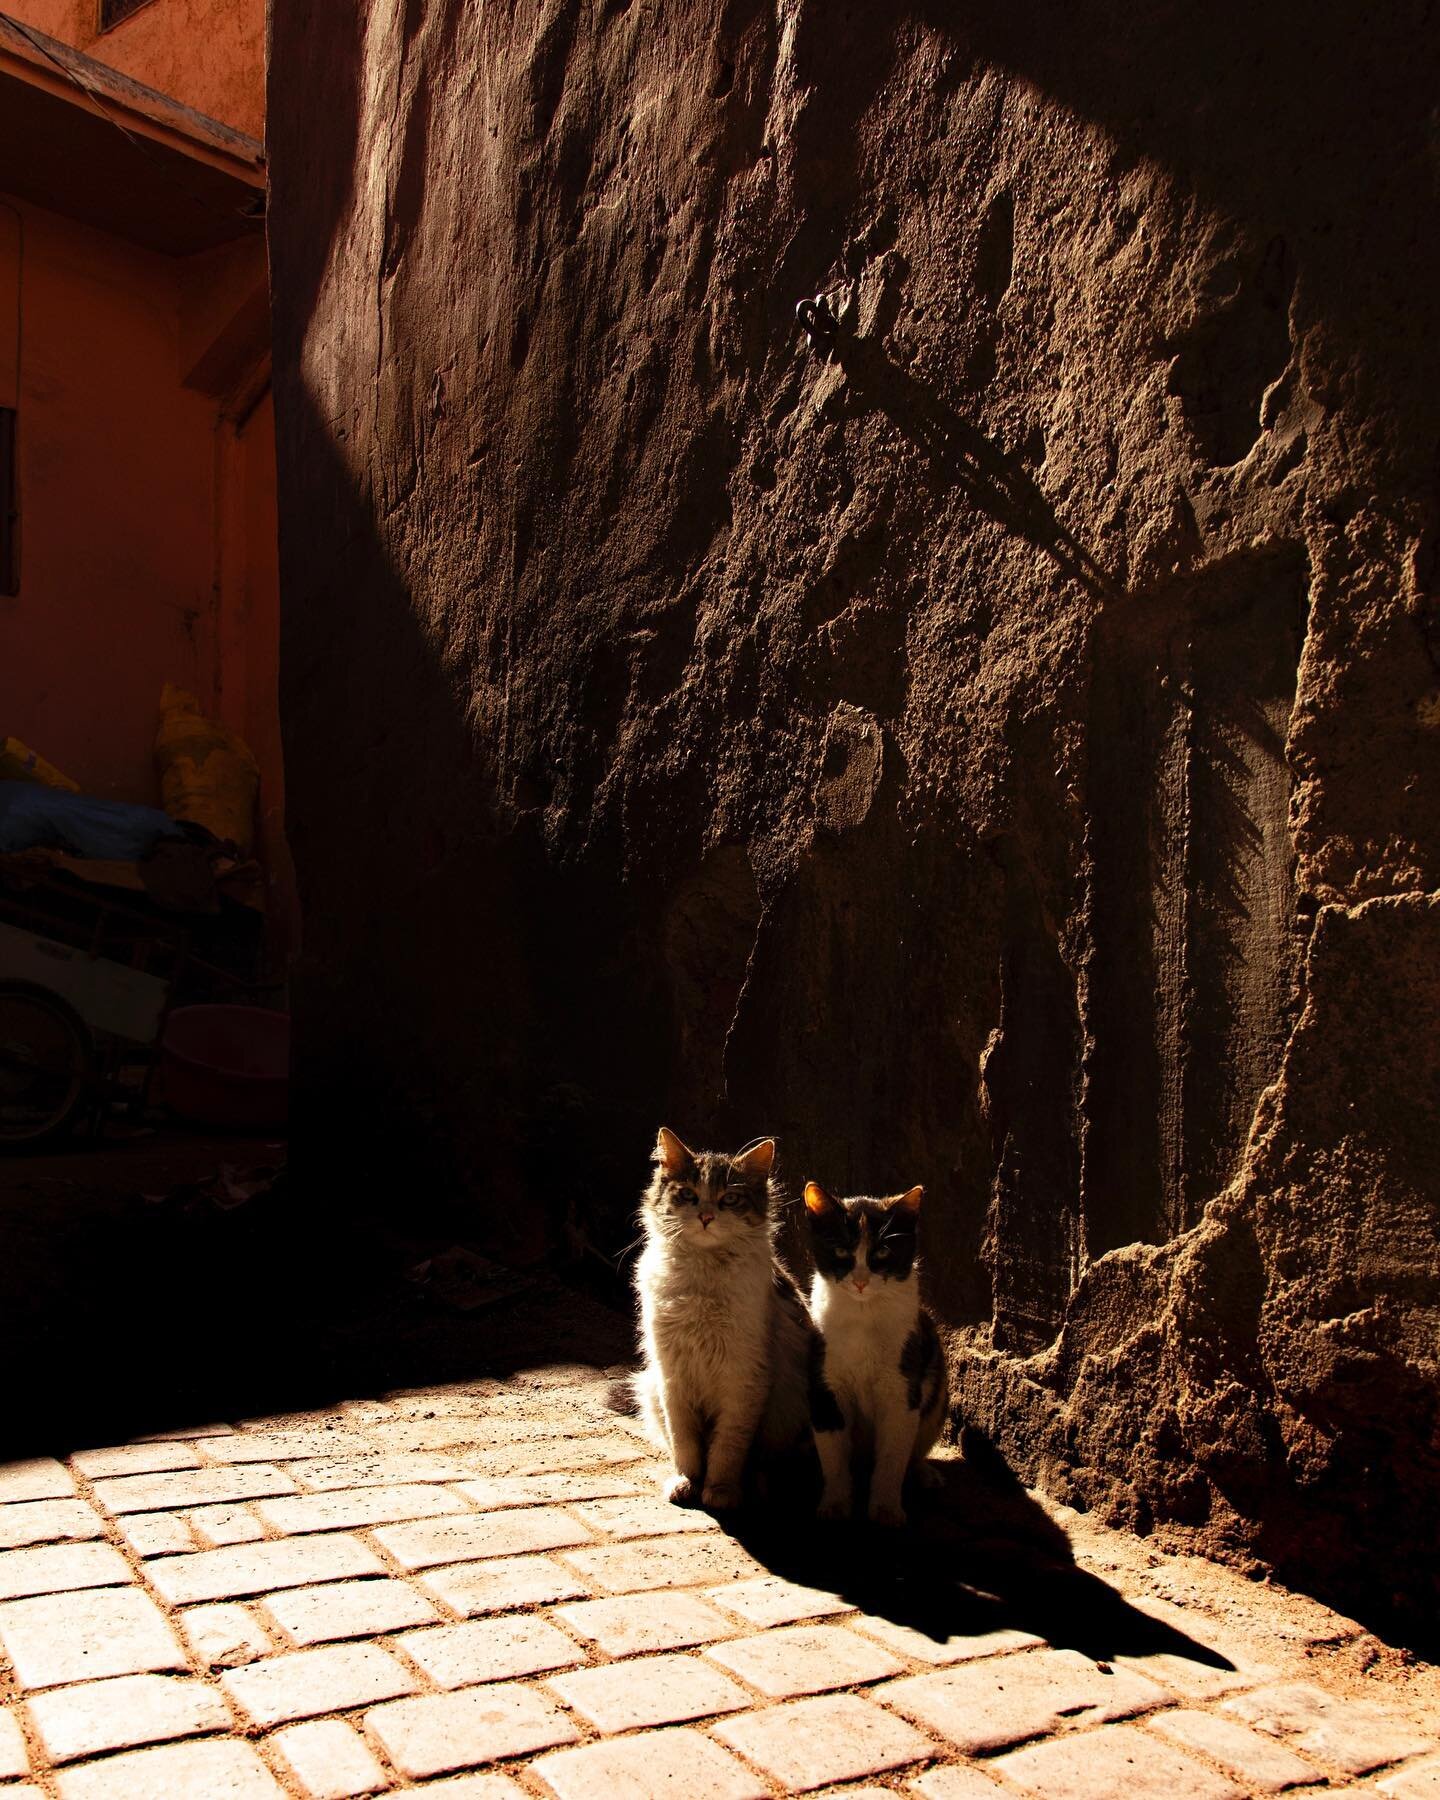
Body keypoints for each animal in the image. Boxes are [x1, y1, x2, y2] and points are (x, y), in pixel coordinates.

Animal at [630, 1130, 810, 1512]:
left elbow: (727, 1448)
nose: (706, 1217)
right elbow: (685, 1446)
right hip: (649, 1388)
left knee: (764, 1461)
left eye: (730, 1199)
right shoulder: (673, 1376)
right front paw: (687, 1483)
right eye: (688, 1194)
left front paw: (720, 1490)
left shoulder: (743, 1379)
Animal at [802, 1188, 950, 1526]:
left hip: (936, 1395)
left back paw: (925, 1474)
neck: (862, 1316)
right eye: (841, 1250)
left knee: (915, 1449)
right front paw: (835, 1505)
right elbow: (833, 1455)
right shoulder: (827, 1384)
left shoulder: (901, 1387)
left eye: (882, 1252)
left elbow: (893, 1457)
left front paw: (886, 1510)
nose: (860, 1281)